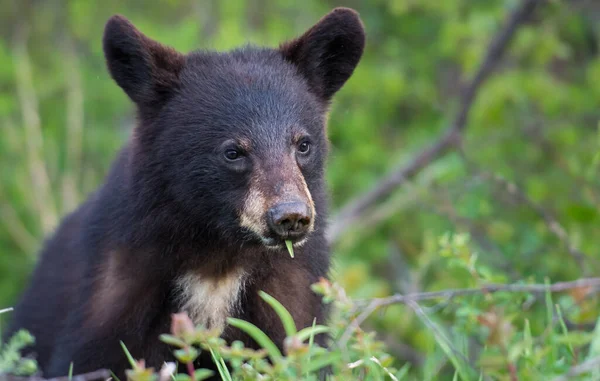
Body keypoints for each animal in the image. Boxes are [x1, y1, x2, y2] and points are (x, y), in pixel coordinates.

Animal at [5, 5, 366, 378]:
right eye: (233, 151)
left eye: (303, 144)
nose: (290, 215)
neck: (218, 256)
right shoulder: (117, 284)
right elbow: (90, 358)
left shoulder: (291, 291)